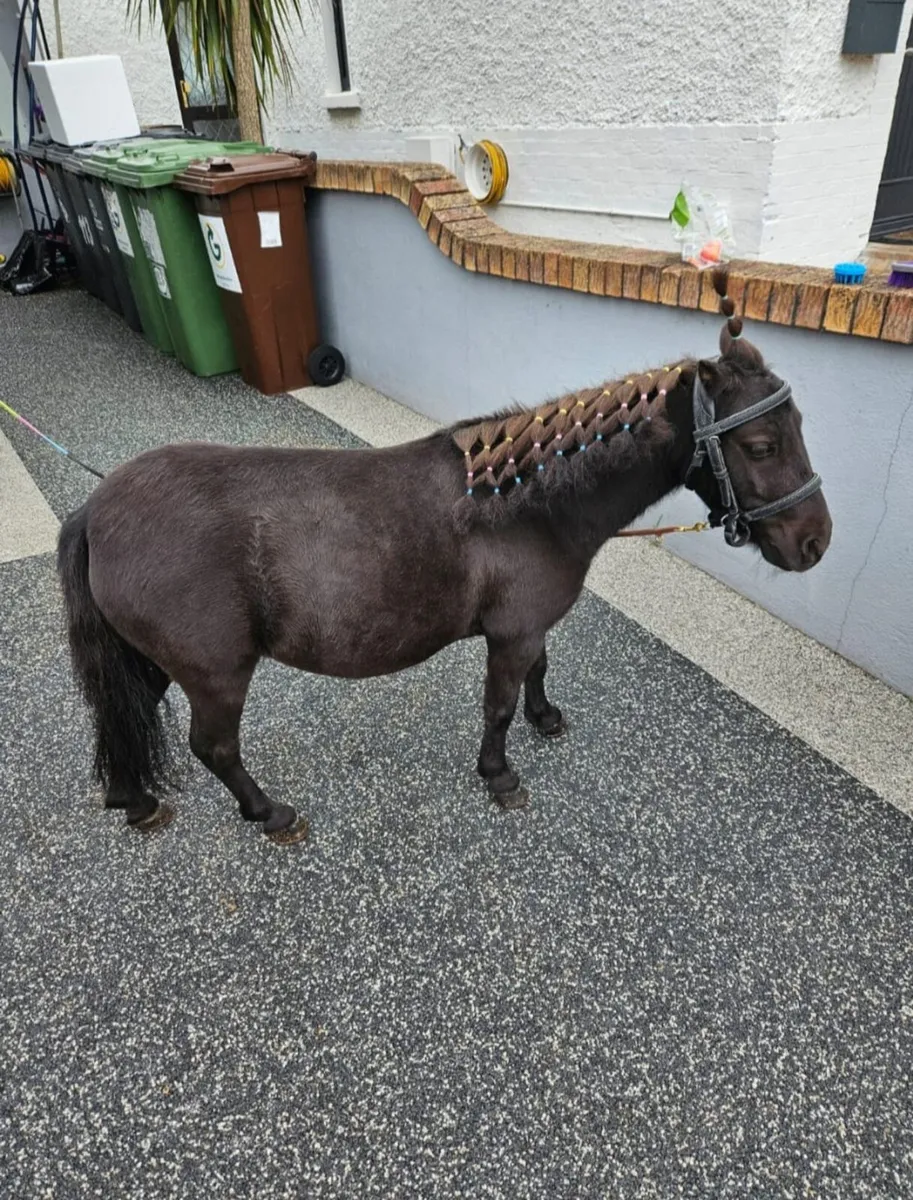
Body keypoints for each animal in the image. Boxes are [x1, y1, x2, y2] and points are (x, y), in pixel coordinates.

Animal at [57, 274, 831, 843]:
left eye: (798, 425)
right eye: (761, 444)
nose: (814, 542)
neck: (527, 504)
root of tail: (98, 510)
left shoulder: (525, 627)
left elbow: (537, 673)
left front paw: (545, 718)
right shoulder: (510, 633)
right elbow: (498, 705)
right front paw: (499, 775)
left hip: (150, 660)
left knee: (123, 712)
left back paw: (132, 798)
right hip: (215, 673)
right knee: (212, 746)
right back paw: (268, 813)